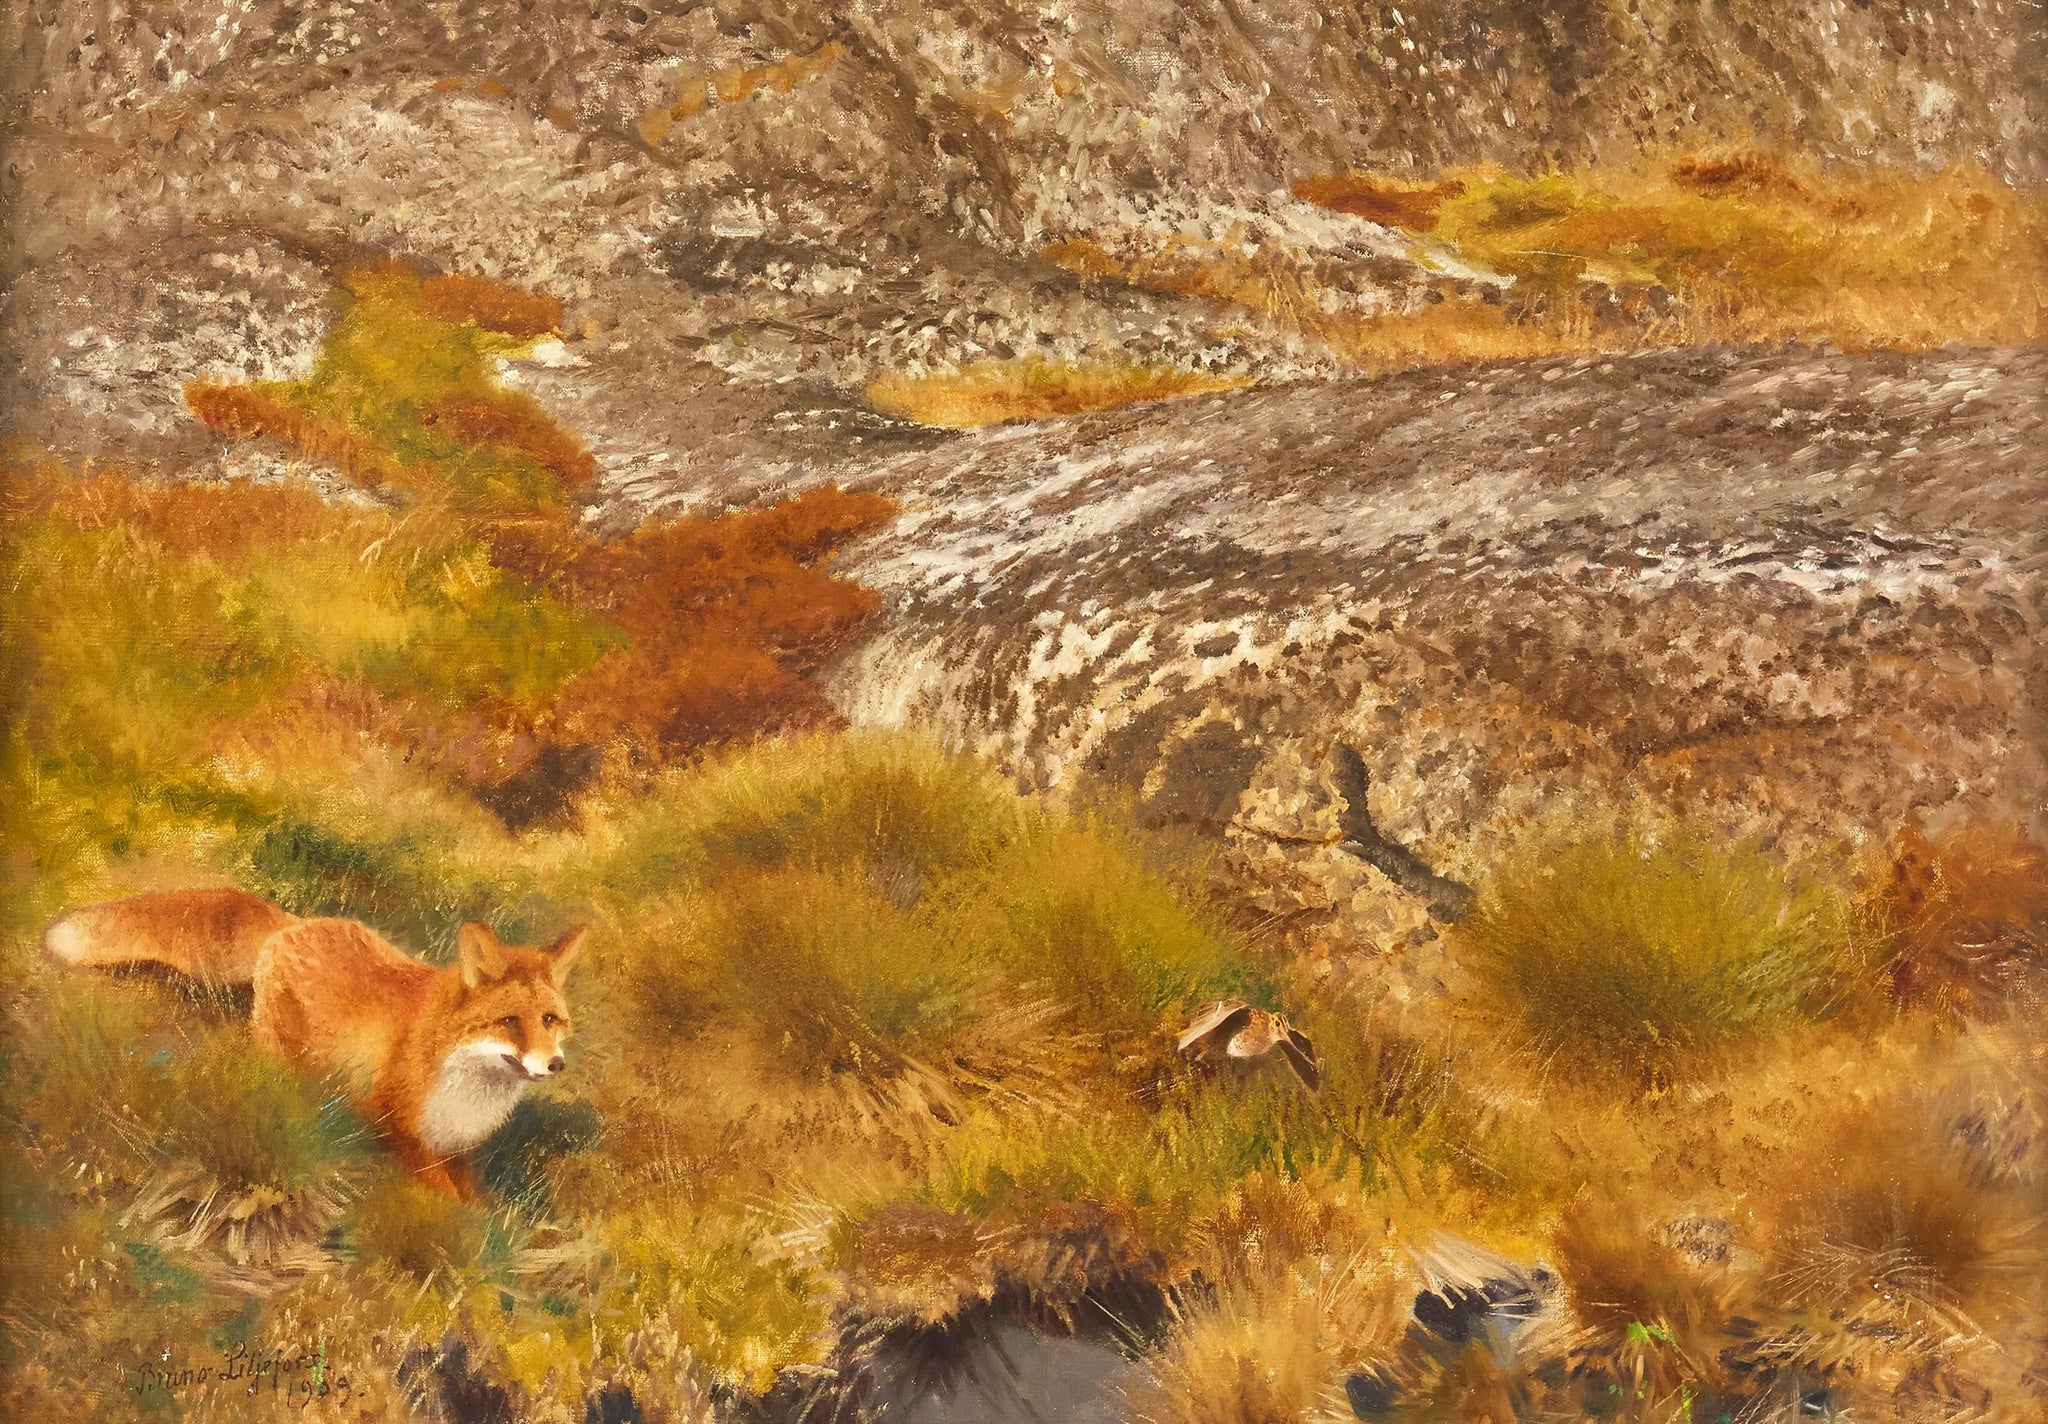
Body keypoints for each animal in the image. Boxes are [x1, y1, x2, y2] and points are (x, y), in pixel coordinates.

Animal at [42, 887, 584, 1200]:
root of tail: (296, 923)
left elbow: (473, 1203)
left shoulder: (456, 1148)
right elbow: (448, 1206)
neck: (464, 1084)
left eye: (550, 1019)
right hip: (279, 1062)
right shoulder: (400, 1132)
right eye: (510, 1022)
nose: (555, 1065)